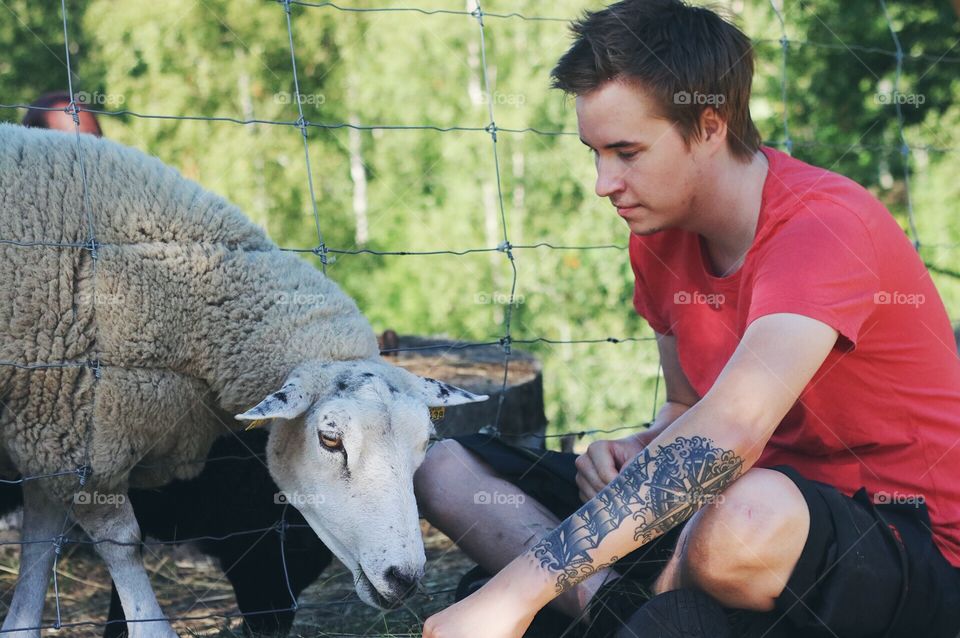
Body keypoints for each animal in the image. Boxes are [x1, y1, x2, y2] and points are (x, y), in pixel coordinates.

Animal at [0, 123, 487, 638]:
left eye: (426, 442)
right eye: (330, 440)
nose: (404, 577)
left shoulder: (48, 433)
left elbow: (40, 543)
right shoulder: (75, 435)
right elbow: (120, 543)